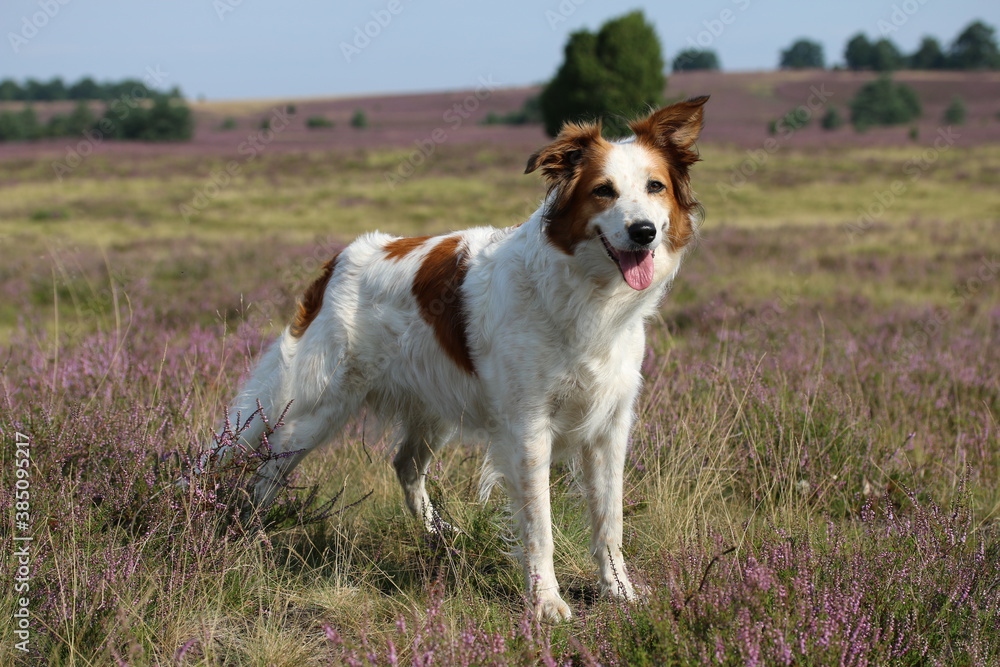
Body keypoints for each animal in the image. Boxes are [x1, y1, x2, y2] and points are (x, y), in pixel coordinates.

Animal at [219, 98, 708, 620]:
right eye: (603, 191)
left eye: (655, 186)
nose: (643, 232)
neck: (588, 294)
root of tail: (341, 259)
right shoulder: (527, 428)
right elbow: (540, 526)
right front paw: (545, 600)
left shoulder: (609, 426)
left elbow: (609, 520)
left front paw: (619, 591)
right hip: (316, 411)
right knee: (267, 470)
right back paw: (246, 539)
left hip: (432, 408)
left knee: (406, 465)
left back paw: (441, 536)